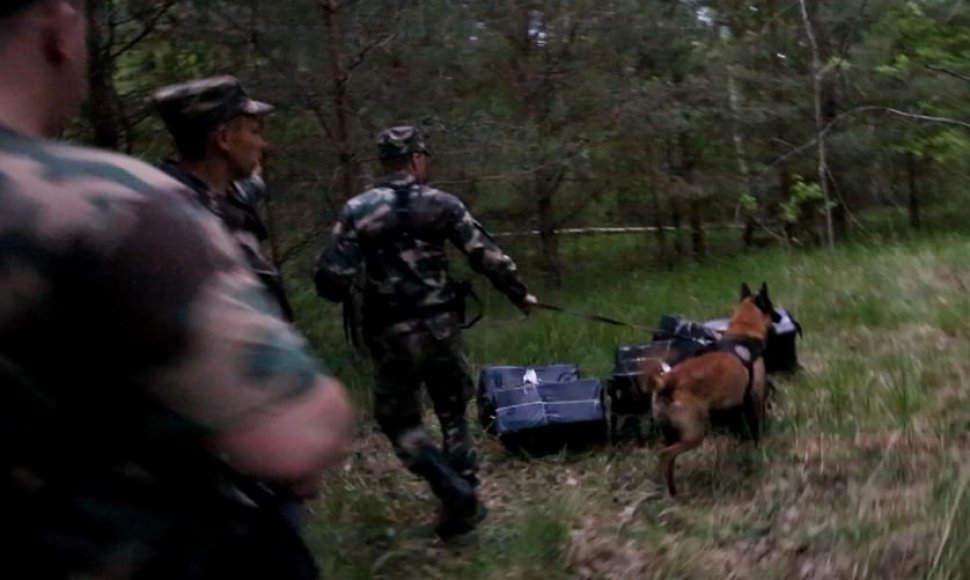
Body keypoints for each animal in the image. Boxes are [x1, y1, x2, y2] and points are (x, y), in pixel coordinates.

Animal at [644, 284, 780, 496]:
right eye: (771, 306)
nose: (780, 317)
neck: (743, 333)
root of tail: (667, 381)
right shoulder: (755, 398)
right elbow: (756, 428)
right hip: (695, 433)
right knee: (666, 455)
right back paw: (673, 491)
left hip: (670, 433)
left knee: (668, 458)